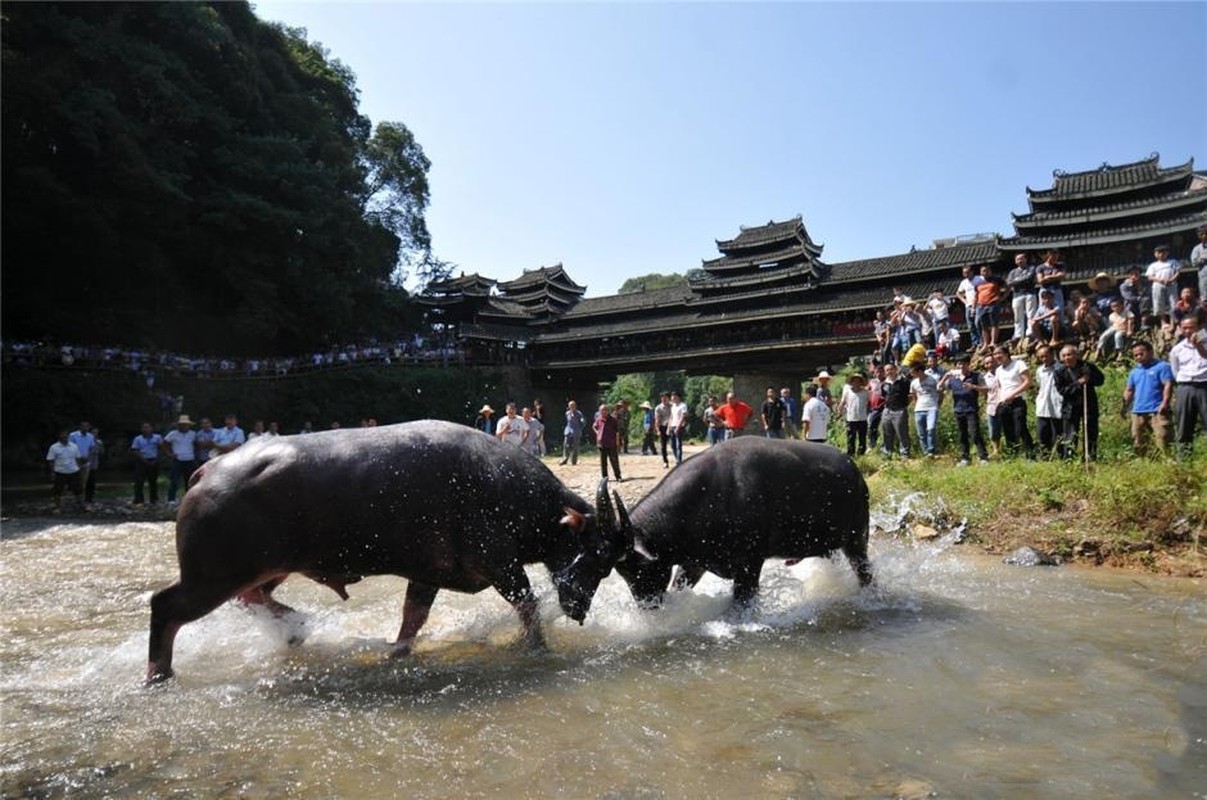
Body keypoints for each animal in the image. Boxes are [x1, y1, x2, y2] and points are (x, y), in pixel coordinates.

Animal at [149, 422, 617, 685]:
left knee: (253, 596)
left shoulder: (428, 575)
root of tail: (208, 469)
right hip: (213, 576)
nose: (579, 610)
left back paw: (295, 627)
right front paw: (537, 649)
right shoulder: (501, 565)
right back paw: (158, 675)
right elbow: (528, 605)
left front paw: (395, 652)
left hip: (270, 567)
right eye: (596, 554)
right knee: (166, 606)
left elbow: (413, 619)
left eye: (608, 565)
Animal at [572, 439, 869, 608]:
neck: (710, 496)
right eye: (620, 571)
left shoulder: (749, 565)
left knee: (865, 574)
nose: (647, 605)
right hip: (830, 549)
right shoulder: (694, 564)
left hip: (857, 541)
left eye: (640, 567)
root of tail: (854, 471)